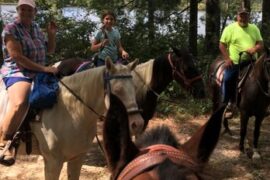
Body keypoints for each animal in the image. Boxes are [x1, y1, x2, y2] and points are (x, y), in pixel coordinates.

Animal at [0, 58, 144, 179]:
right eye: (117, 90)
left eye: (135, 88)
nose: (137, 123)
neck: (72, 112)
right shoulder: (53, 163)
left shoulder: (77, 159)